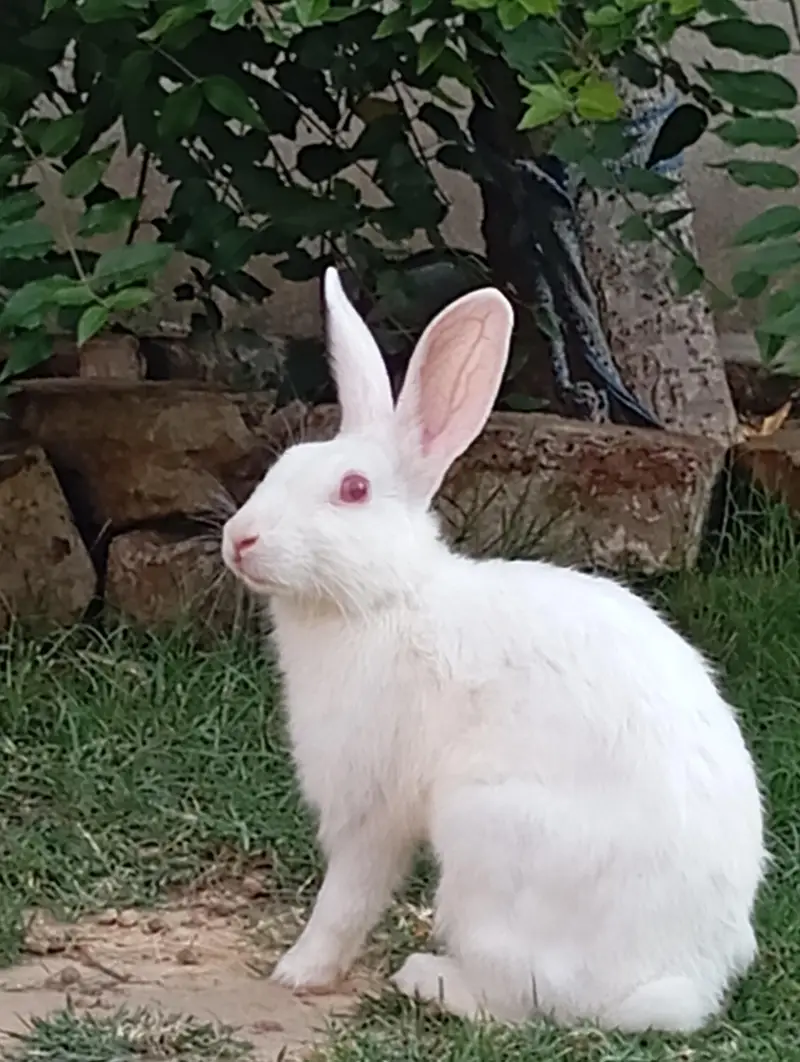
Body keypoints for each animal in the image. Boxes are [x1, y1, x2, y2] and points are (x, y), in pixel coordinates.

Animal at [221, 267, 766, 1033]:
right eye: (284, 465)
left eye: (353, 490)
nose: (238, 540)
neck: (389, 597)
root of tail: (685, 980)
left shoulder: (370, 806)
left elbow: (349, 895)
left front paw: (300, 971)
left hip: (490, 842)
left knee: (527, 998)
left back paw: (427, 979)